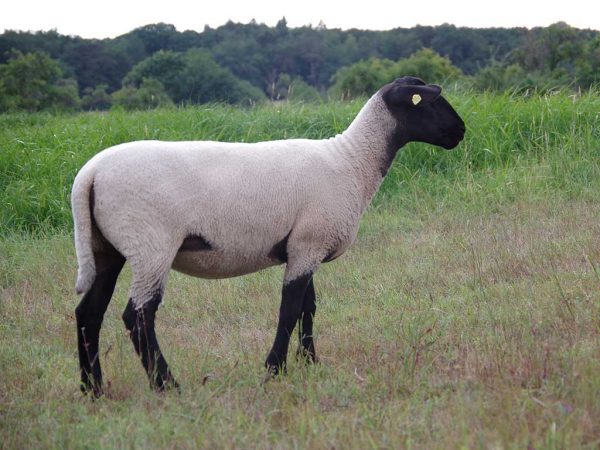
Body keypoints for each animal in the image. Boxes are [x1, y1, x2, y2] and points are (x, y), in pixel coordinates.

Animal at [70, 75, 464, 396]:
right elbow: (289, 309)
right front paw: (275, 369)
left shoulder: (306, 244)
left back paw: (93, 389)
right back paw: (167, 384)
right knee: (138, 316)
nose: (461, 131)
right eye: (428, 102)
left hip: (107, 248)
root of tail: (89, 174)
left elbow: (308, 307)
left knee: (89, 313)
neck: (352, 162)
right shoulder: (309, 244)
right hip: (151, 245)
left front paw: (309, 363)